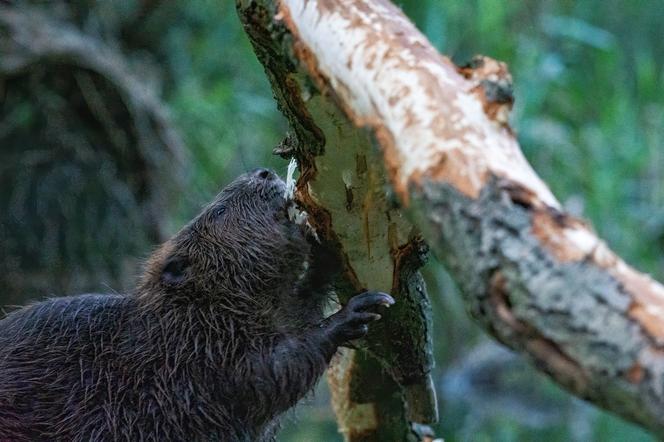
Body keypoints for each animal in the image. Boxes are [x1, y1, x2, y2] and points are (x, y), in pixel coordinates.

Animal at [0, 167, 394, 440]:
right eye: (218, 212)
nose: (263, 172)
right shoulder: (196, 359)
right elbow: (269, 373)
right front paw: (356, 312)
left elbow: (296, 313)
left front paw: (321, 247)